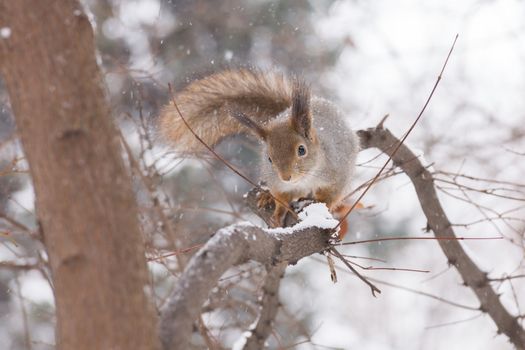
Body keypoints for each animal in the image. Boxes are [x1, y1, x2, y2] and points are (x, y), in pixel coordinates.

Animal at [160, 69, 360, 227]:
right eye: (269, 158)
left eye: (302, 150)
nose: (286, 177)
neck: (305, 179)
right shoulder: (279, 184)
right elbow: (281, 198)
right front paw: (278, 214)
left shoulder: (337, 173)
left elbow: (330, 198)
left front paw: (322, 207)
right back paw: (267, 196)